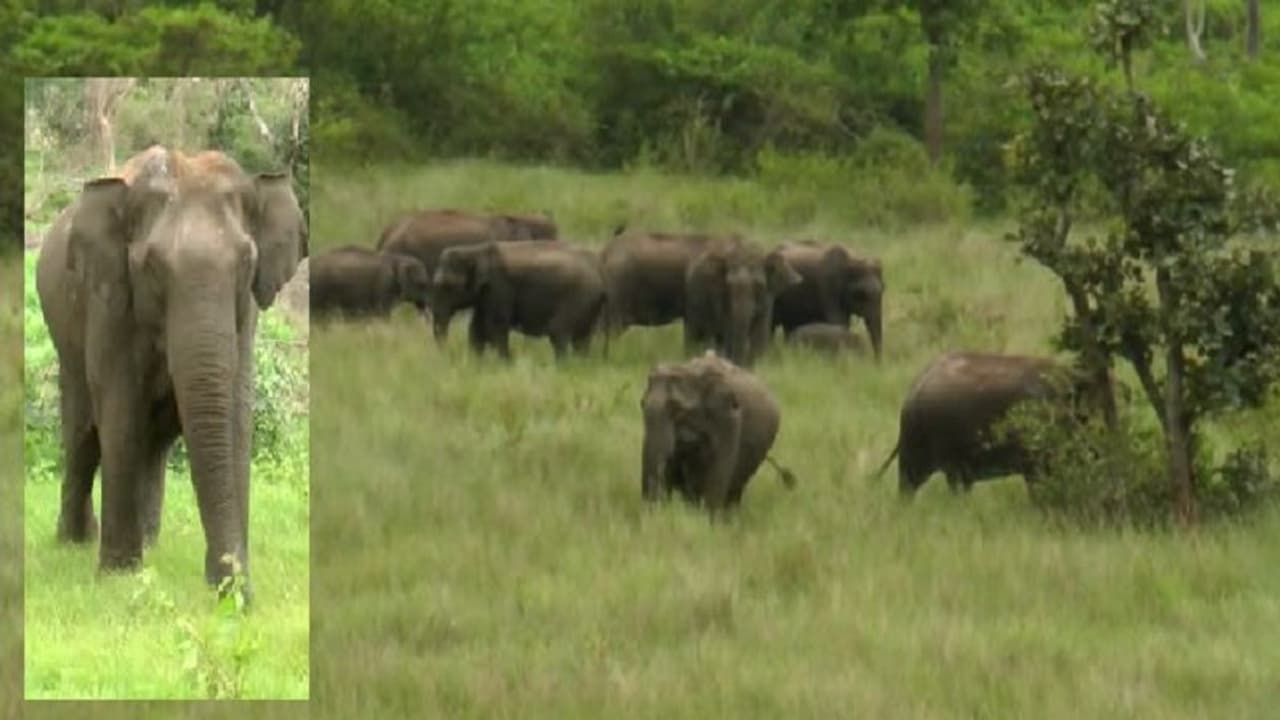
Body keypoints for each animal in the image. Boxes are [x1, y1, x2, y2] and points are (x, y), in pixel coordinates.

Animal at [35, 145, 307, 604]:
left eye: (247, 262)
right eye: (151, 266)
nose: (236, 595)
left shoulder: (246, 314)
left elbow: (236, 415)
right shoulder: (110, 301)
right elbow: (120, 413)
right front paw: (119, 576)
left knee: (151, 439)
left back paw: (149, 541)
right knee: (83, 433)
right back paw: (77, 541)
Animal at [430, 240, 607, 359]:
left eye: (447, 286)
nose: (445, 353)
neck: (476, 250)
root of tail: (598, 271)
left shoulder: (499, 288)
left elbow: (494, 327)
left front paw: (505, 364)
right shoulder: (485, 295)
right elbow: (476, 329)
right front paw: (476, 365)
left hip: (578, 297)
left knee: (558, 331)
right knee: (582, 338)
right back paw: (580, 363)